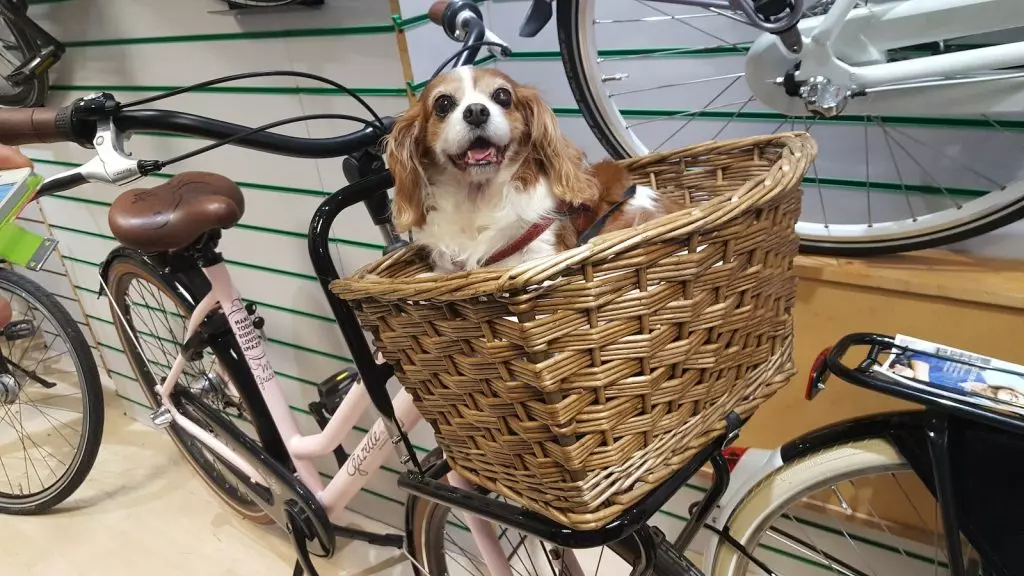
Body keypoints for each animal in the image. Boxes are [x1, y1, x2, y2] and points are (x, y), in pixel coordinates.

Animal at [385, 66, 671, 272]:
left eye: (502, 96)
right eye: (443, 103)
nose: (476, 111)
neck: (477, 198)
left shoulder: (540, 252)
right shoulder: (447, 270)